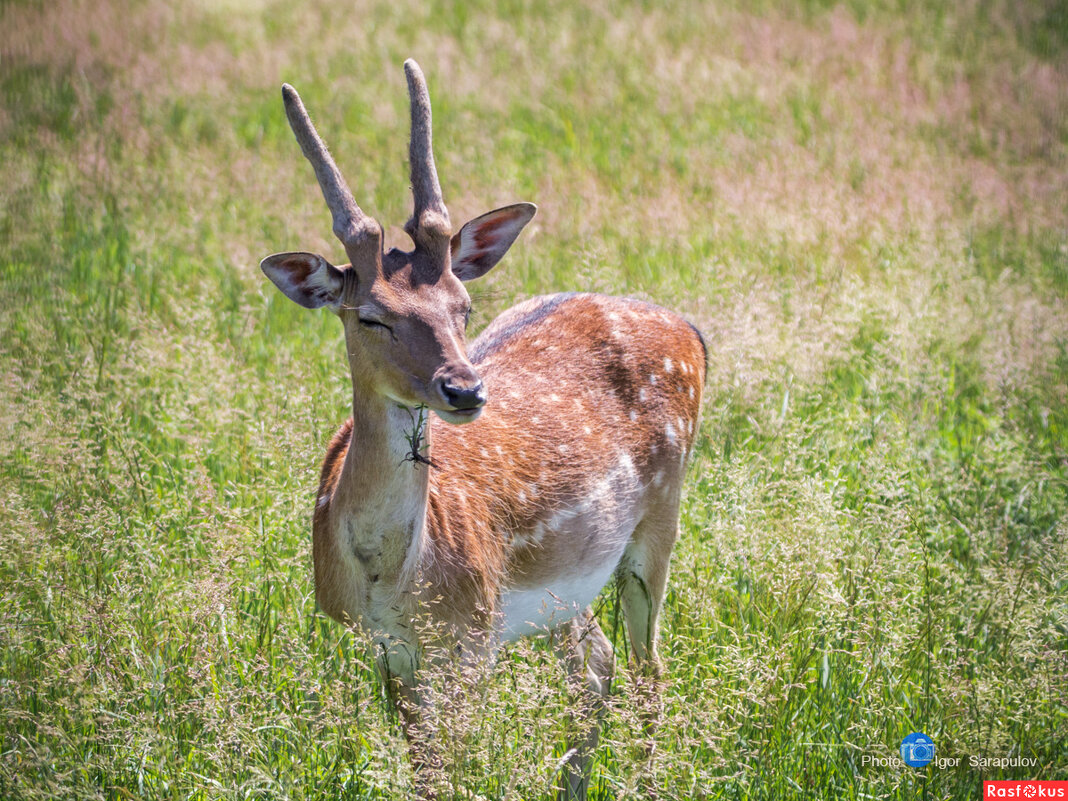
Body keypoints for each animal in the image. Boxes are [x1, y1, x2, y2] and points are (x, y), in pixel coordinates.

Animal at [258, 59, 704, 798]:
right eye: (370, 315)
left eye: (463, 305)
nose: (464, 388)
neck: (392, 579)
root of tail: (690, 329)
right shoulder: (390, 650)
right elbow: (426, 769)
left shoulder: (472, 634)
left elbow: (457, 767)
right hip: (562, 588)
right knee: (598, 660)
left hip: (659, 522)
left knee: (650, 669)